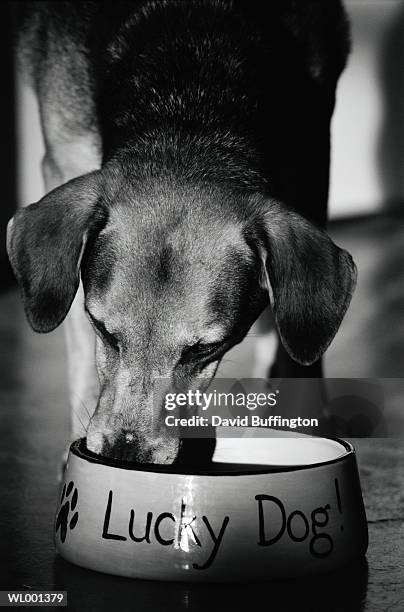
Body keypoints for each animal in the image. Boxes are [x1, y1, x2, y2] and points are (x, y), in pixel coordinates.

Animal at [7, 0, 356, 464]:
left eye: (204, 349)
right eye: (103, 328)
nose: (125, 455)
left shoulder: (312, 161)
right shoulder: (64, 155)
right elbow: (79, 355)